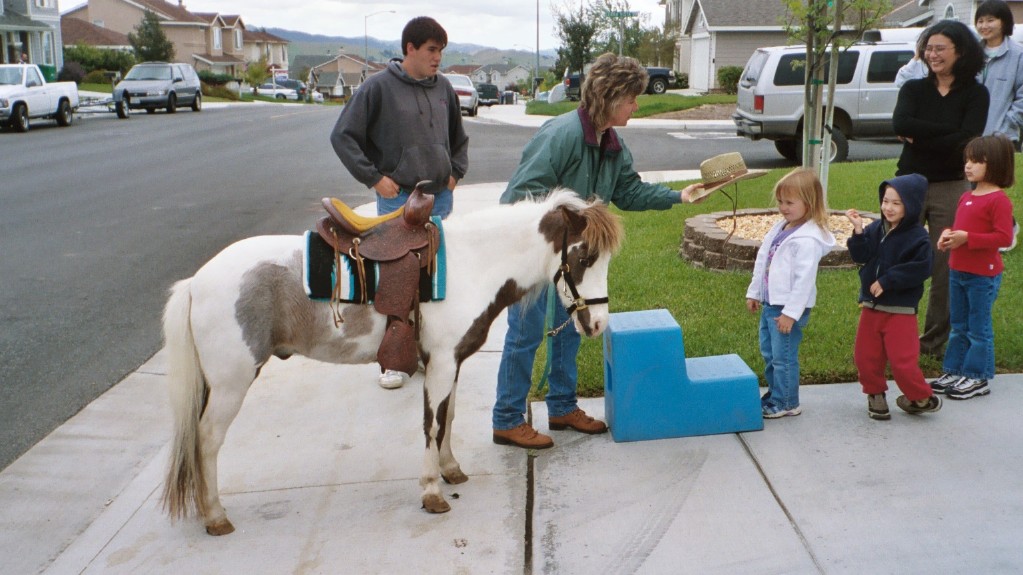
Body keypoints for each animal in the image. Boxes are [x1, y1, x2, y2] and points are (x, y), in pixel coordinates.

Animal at [160, 189, 621, 532]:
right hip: (232, 383)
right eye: (583, 258)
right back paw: (215, 516)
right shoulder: (441, 364)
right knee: (206, 439)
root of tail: (196, 281)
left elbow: (447, 418)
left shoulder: (450, 363)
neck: (472, 265)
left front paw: (451, 470)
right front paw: (432, 492)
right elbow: (432, 424)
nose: (599, 324)